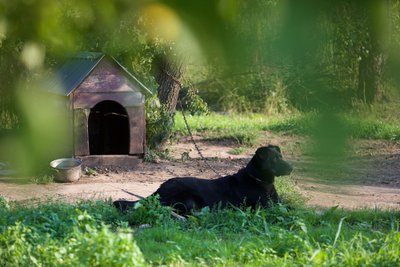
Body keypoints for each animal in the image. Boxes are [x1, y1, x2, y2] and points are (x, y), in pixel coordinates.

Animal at [114, 146, 292, 215]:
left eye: (280, 156)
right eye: (274, 159)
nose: (291, 168)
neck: (259, 180)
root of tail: (159, 189)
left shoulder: (278, 202)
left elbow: (289, 206)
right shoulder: (266, 207)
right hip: (188, 200)